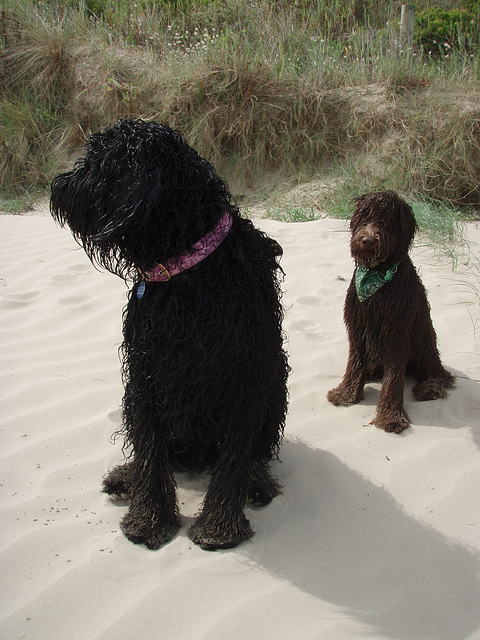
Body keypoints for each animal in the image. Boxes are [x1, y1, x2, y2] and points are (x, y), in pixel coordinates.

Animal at [51, 119, 288, 552]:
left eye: (97, 162)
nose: (58, 186)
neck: (190, 271)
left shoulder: (245, 375)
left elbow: (235, 458)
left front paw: (218, 528)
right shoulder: (145, 372)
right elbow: (148, 450)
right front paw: (148, 519)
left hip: (275, 386)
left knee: (252, 455)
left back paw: (257, 482)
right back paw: (125, 477)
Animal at [326, 190, 454, 436]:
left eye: (385, 221)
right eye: (364, 216)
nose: (367, 240)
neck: (377, 275)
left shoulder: (397, 331)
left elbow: (393, 379)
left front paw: (390, 417)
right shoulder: (358, 326)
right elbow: (354, 362)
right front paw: (346, 393)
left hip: (424, 343)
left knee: (439, 374)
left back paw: (430, 387)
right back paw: (371, 370)